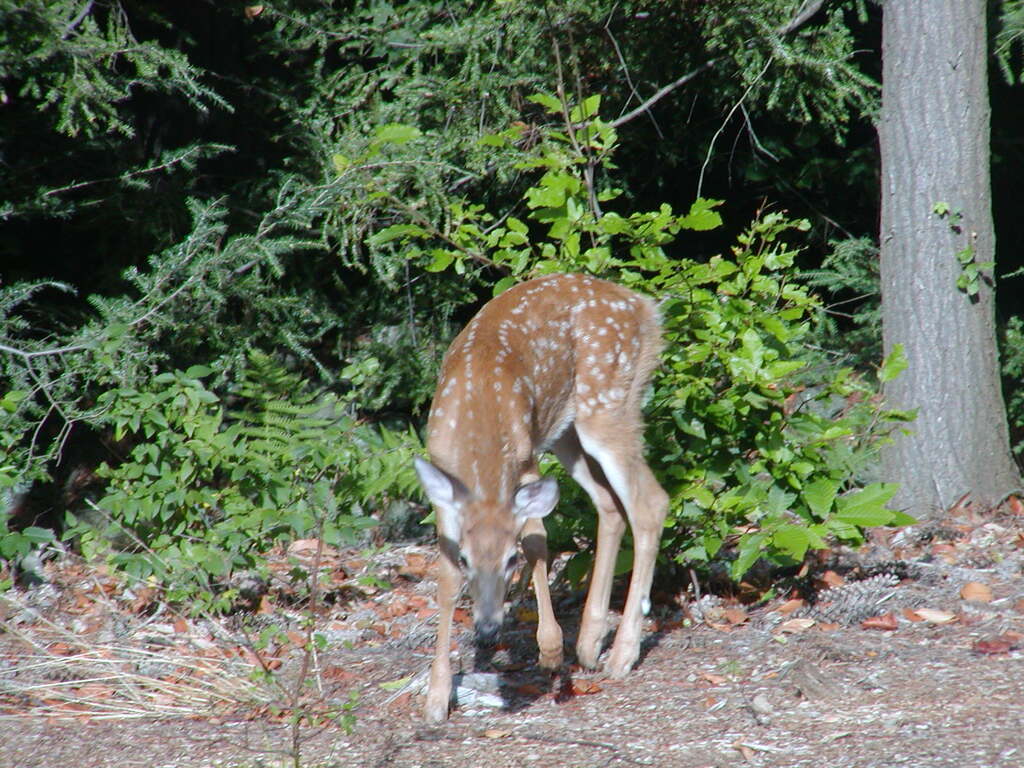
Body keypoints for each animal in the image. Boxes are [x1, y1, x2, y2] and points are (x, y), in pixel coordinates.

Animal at [413, 272, 669, 724]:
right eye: (466, 559)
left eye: (510, 560)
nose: (487, 628)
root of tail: (643, 306)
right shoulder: (445, 486)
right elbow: (444, 580)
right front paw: (437, 696)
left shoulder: (527, 459)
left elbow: (537, 541)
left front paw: (549, 650)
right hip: (568, 432)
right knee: (609, 505)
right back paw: (589, 643)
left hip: (608, 404)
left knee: (649, 505)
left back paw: (621, 654)